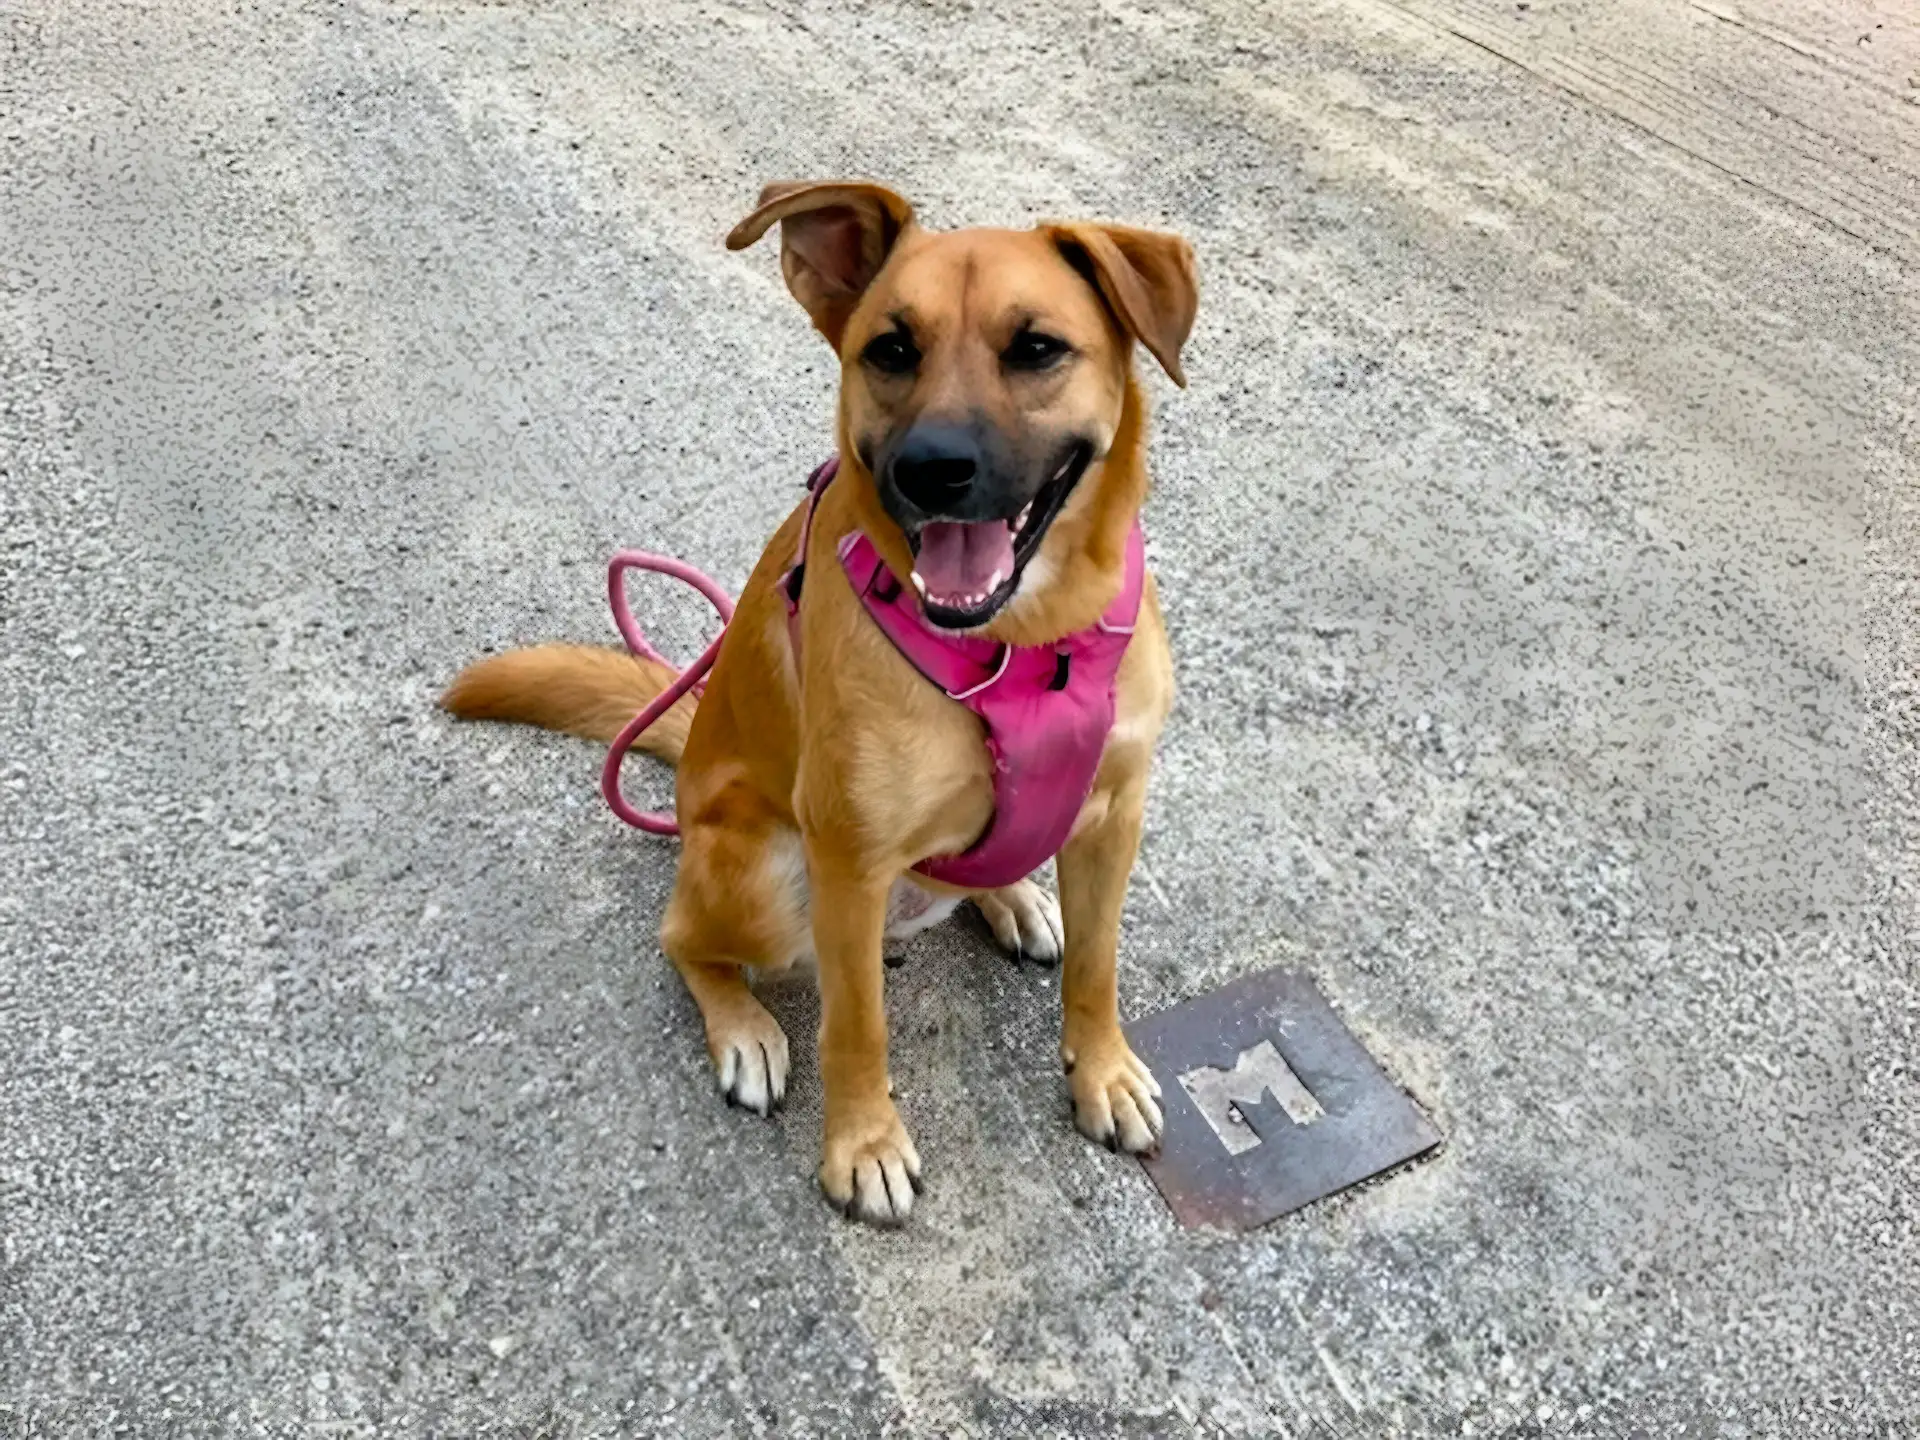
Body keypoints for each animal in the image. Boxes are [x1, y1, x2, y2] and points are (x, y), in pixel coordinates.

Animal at [449, 180, 1198, 1228]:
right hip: (768, 877)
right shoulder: (848, 861)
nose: (931, 469)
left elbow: (1099, 969)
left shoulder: (1116, 814)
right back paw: (745, 1027)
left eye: (1037, 348)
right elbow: (858, 1028)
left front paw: (1103, 1072)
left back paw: (1011, 895)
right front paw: (864, 1146)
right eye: (890, 350)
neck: (1029, 641)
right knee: (681, 937)